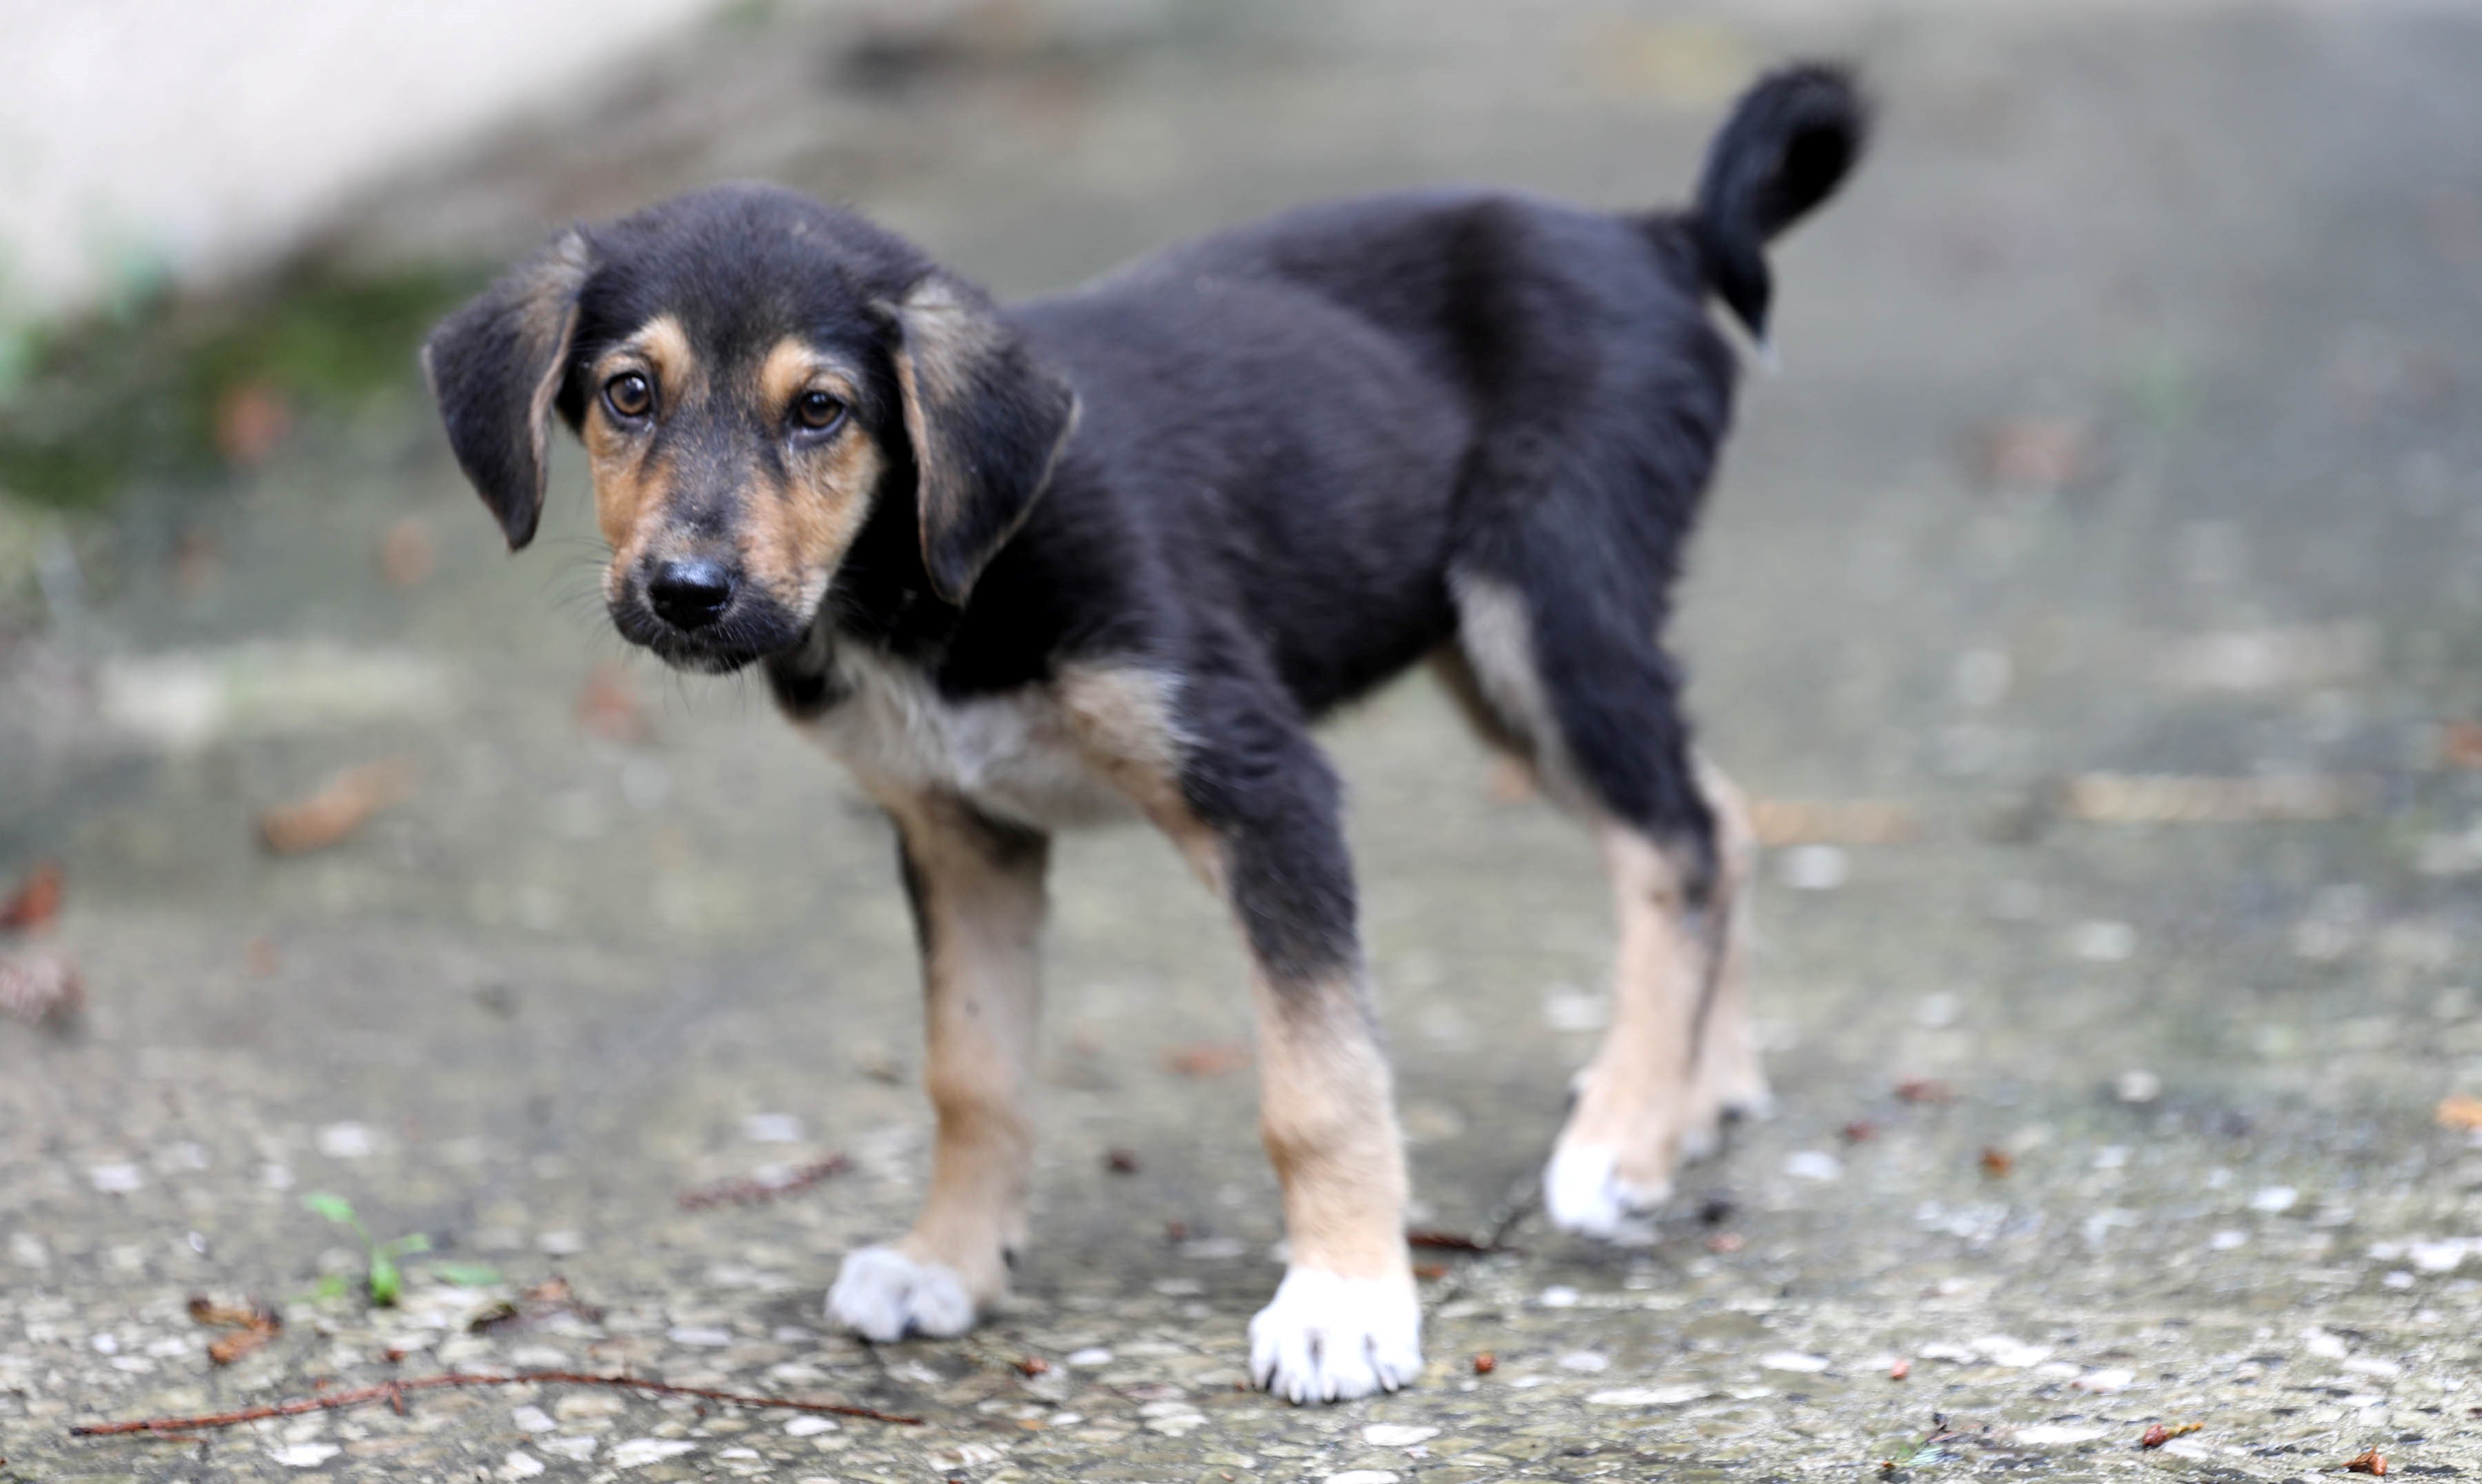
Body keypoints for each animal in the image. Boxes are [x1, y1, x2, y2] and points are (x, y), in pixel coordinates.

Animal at [421, 67, 1866, 1410]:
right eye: (626, 393)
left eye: (820, 410)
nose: (685, 593)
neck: (927, 585)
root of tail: (1651, 236)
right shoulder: (960, 836)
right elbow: (974, 1073)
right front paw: (948, 1262)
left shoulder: (1262, 784)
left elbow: (1318, 1083)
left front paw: (1342, 1300)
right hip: (1499, 662)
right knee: (1712, 809)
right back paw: (1696, 1097)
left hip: (1545, 600)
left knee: (1673, 842)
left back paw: (1622, 1137)